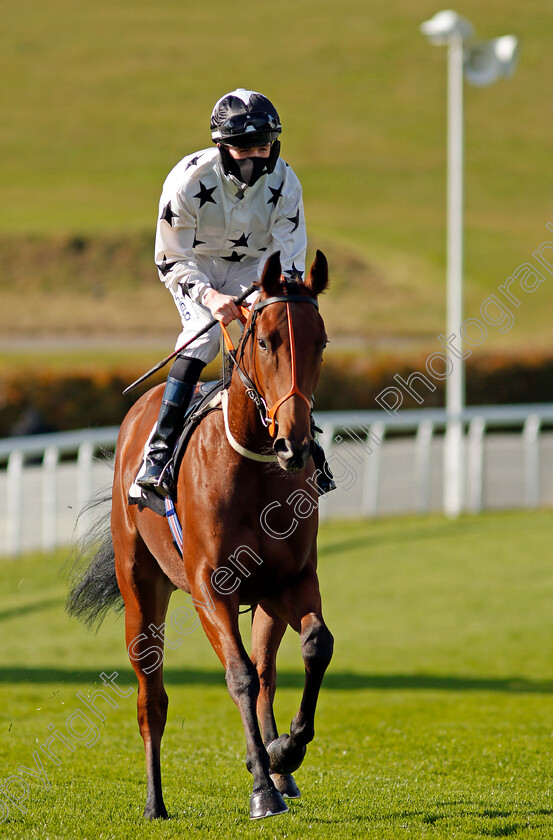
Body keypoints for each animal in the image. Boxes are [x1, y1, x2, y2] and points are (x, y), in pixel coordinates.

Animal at [64, 251, 332, 820]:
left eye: (320, 341)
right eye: (265, 341)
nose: (294, 443)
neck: (254, 466)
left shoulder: (293, 579)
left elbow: (315, 646)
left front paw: (285, 752)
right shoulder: (211, 587)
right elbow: (238, 675)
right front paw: (262, 789)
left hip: (266, 602)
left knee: (268, 671)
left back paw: (279, 765)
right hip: (140, 589)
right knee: (153, 697)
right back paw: (155, 802)